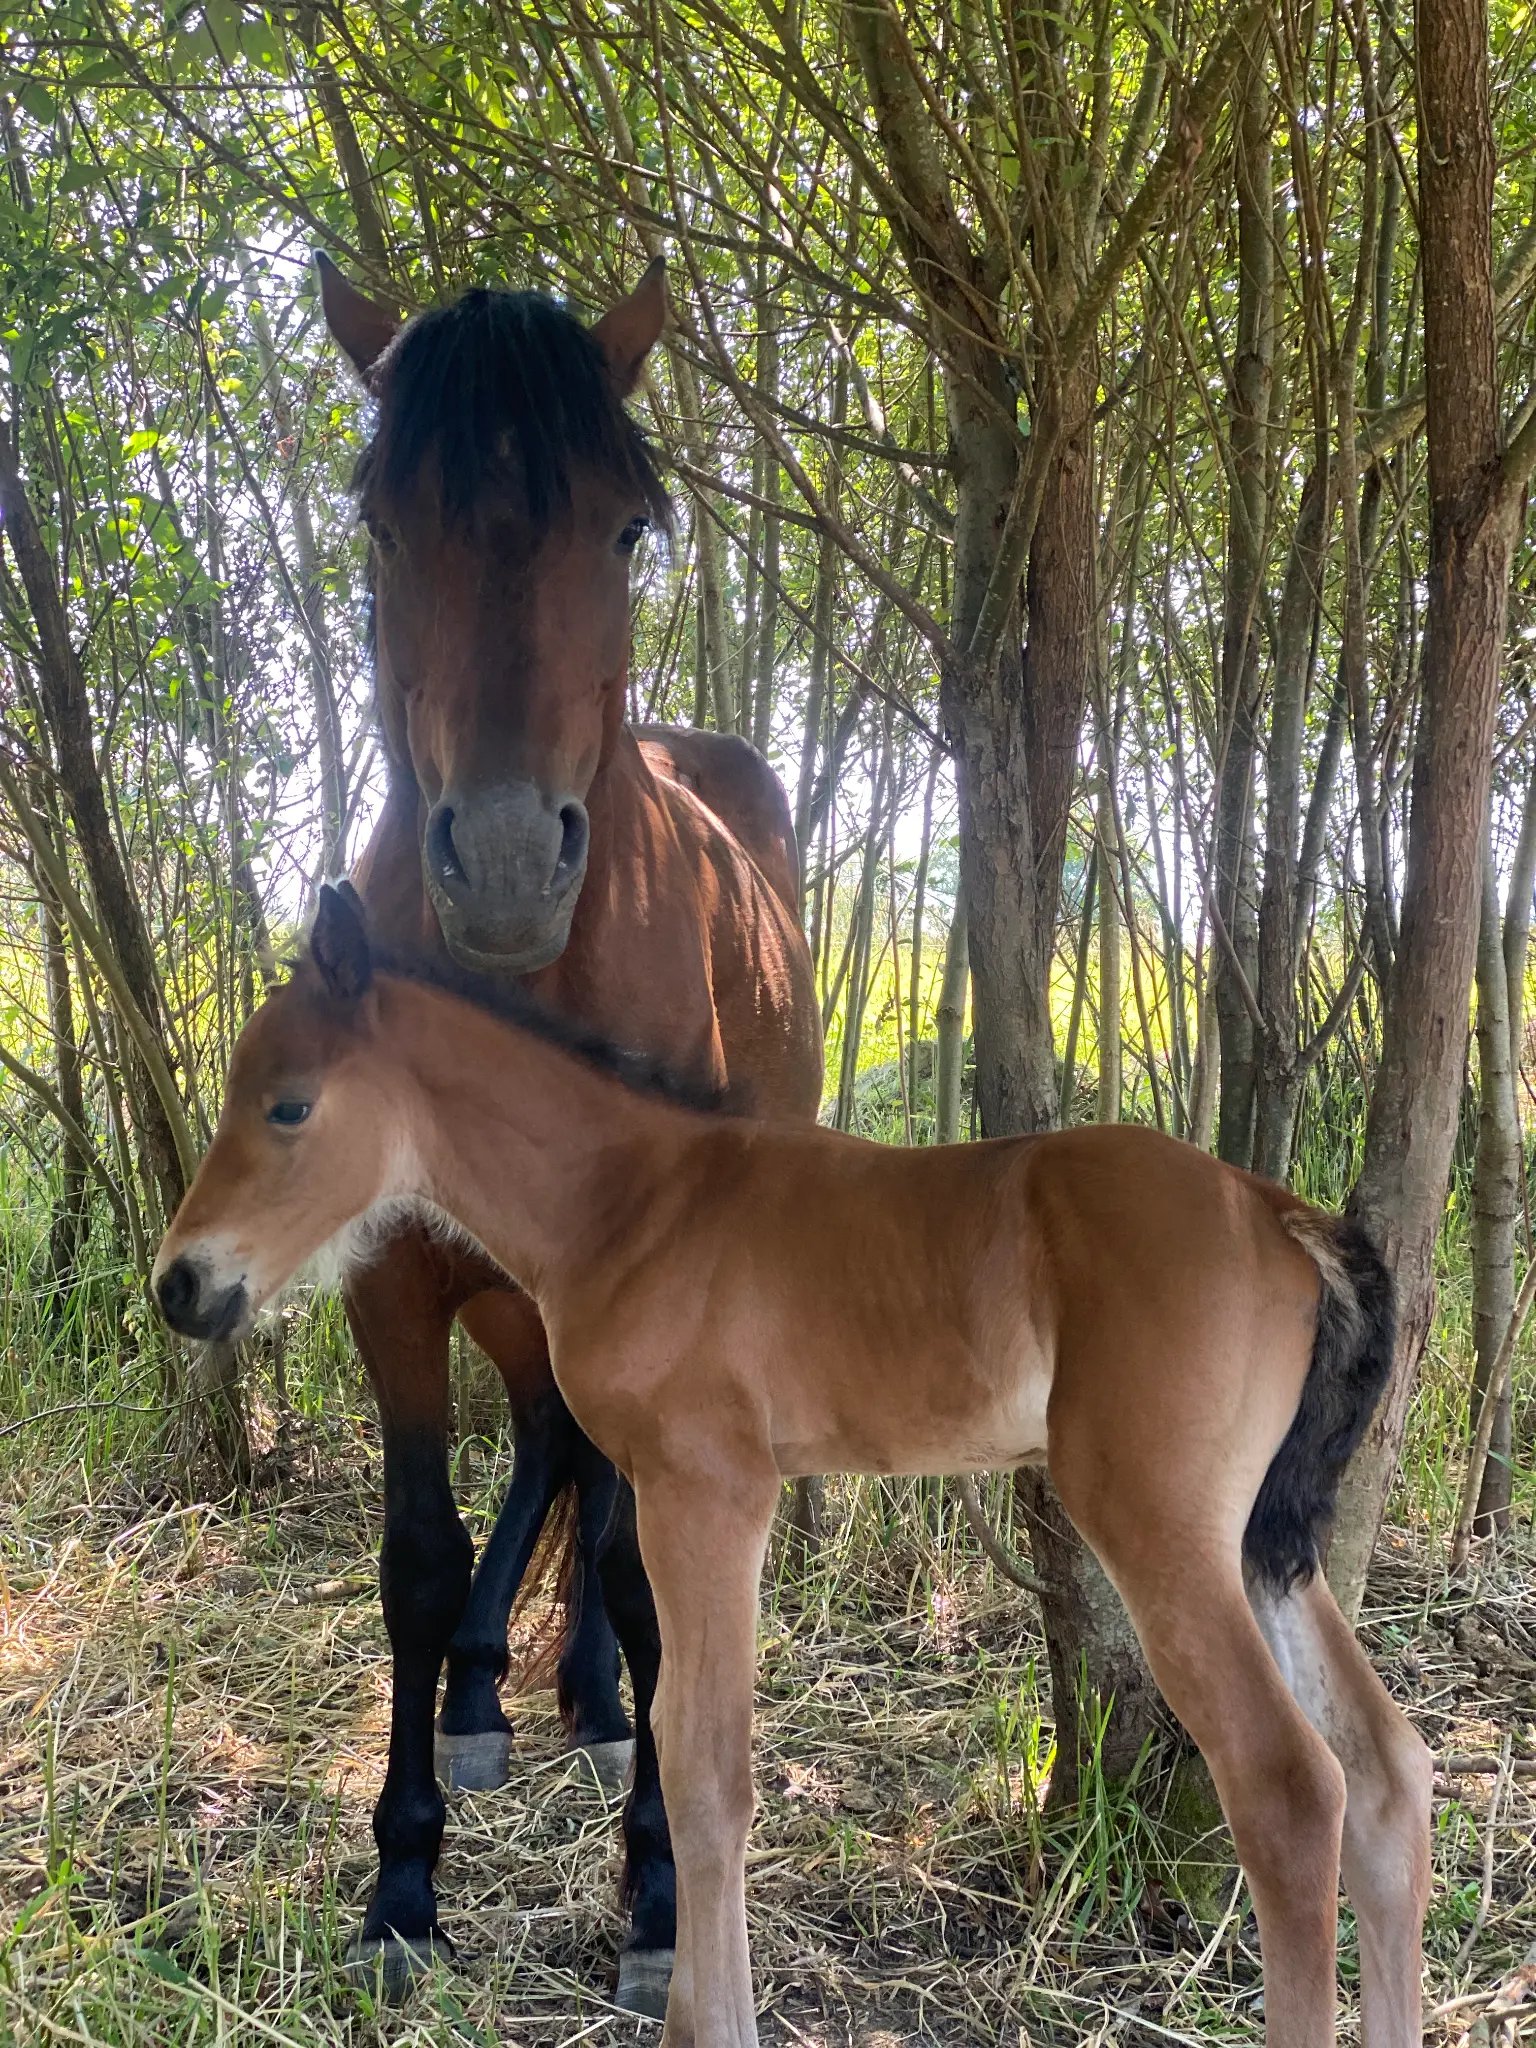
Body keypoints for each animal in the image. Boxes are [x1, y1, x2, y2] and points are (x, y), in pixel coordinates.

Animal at [155, 888, 1432, 2048]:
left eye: (288, 1104)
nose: (181, 1283)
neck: (635, 1205)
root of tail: (1276, 1210)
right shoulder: (667, 1488)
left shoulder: (708, 1487)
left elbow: (707, 1762)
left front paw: (697, 2014)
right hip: (1260, 1544)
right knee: (1387, 1770)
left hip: (1158, 1520)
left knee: (1290, 1786)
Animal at [311, 254, 823, 2009]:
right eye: (384, 522)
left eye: (626, 527)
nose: (511, 864)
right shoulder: (396, 1278)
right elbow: (412, 1552)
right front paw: (403, 1881)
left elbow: (635, 1564)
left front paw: (662, 1895)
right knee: (544, 1443)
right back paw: (489, 1693)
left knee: (601, 1498)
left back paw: (597, 1706)